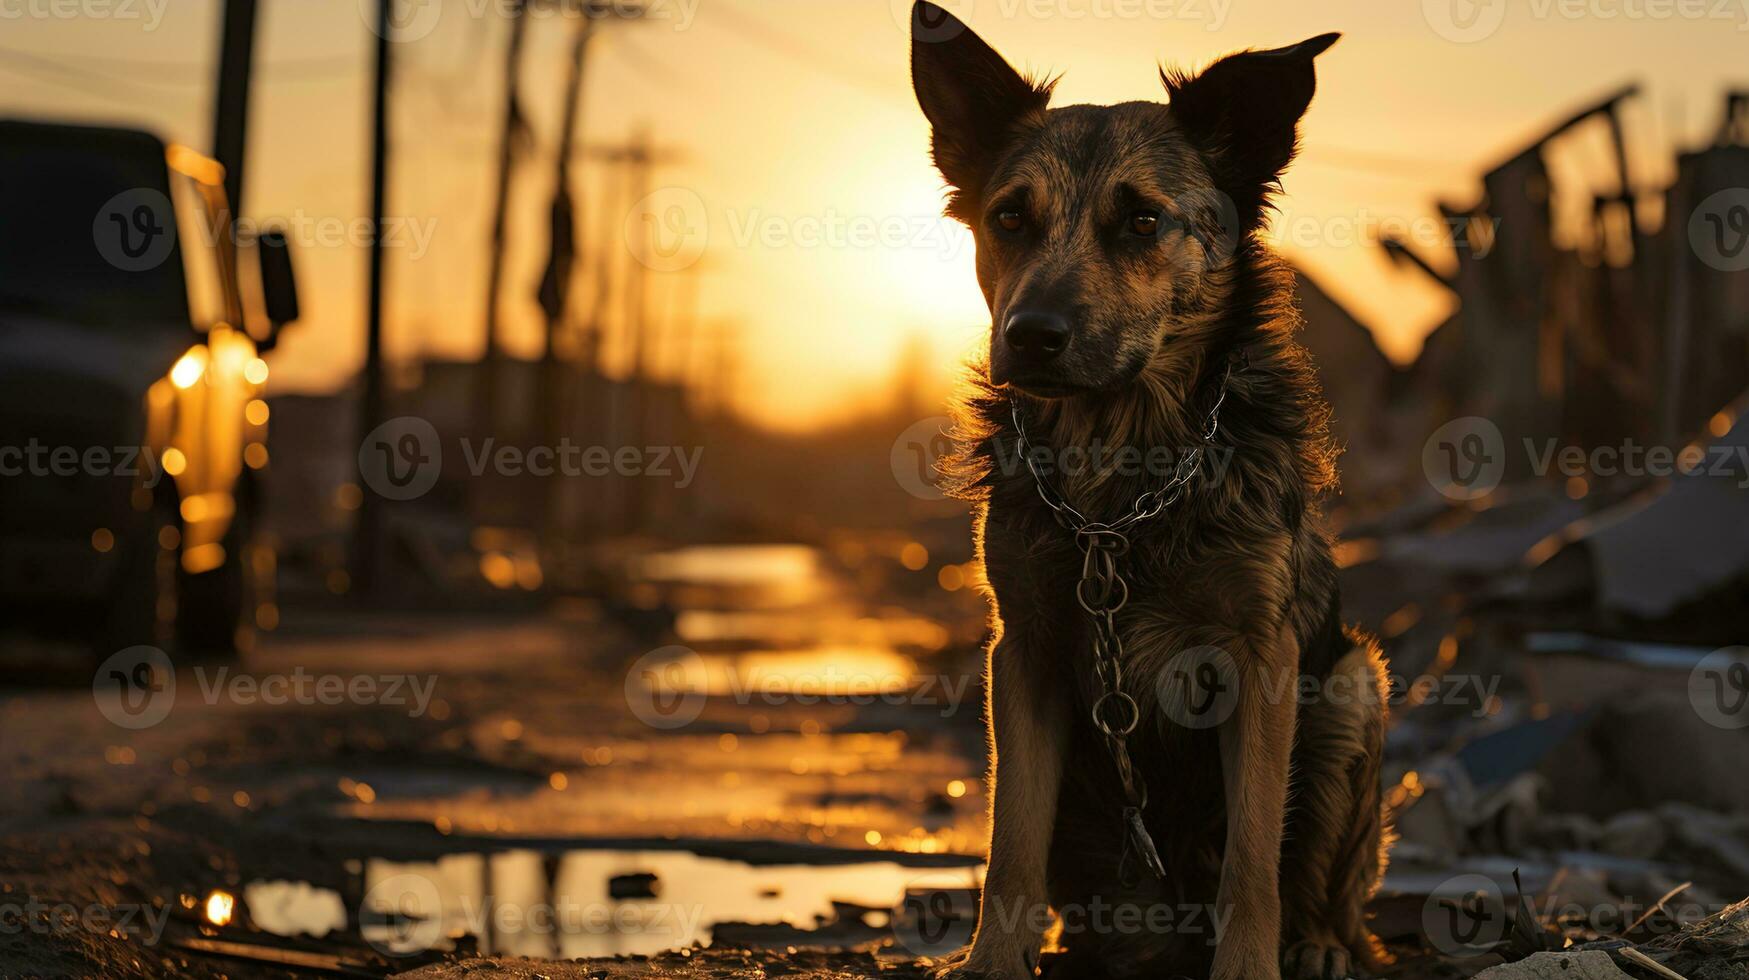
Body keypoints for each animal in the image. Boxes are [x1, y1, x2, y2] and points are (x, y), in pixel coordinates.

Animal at [916, 3, 1392, 973]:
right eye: (1009, 217)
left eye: (1140, 221)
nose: (1031, 335)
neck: (1120, 483)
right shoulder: (1022, 655)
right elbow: (1008, 845)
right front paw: (992, 961)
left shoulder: (1261, 663)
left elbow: (1251, 863)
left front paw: (1248, 966)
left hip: (1354, 688)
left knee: (1330, 890)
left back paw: (1320, 944)